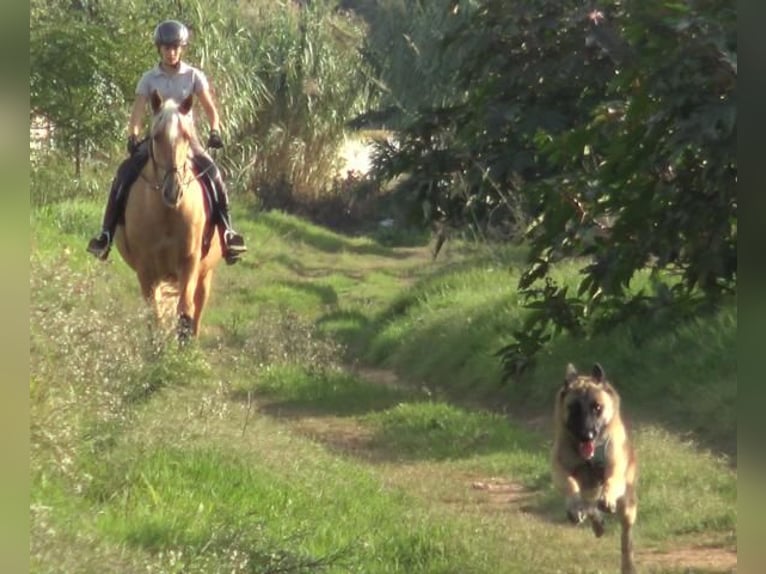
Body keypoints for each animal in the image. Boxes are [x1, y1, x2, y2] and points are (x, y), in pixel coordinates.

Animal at [113, 90, 225, 342]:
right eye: (156, 137)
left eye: (186, 136)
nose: (173, 191)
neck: (166, 213)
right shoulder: (146, 269)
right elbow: (153, 315)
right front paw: (156, 347)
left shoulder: (189, 263)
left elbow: (185, 311)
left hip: (205, 274)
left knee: (197, 309)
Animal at [552, 364, 640, 574]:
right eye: (574, 408)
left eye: (597, 407)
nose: (587, 435)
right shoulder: (559, 469)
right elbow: (570, 483)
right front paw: (575, 506)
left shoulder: (615, 468)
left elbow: (611, 480)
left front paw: (607, 497)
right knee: (589, 506)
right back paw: (590, 518)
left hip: (628, 507)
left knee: (626, 539)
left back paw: (628, 563)